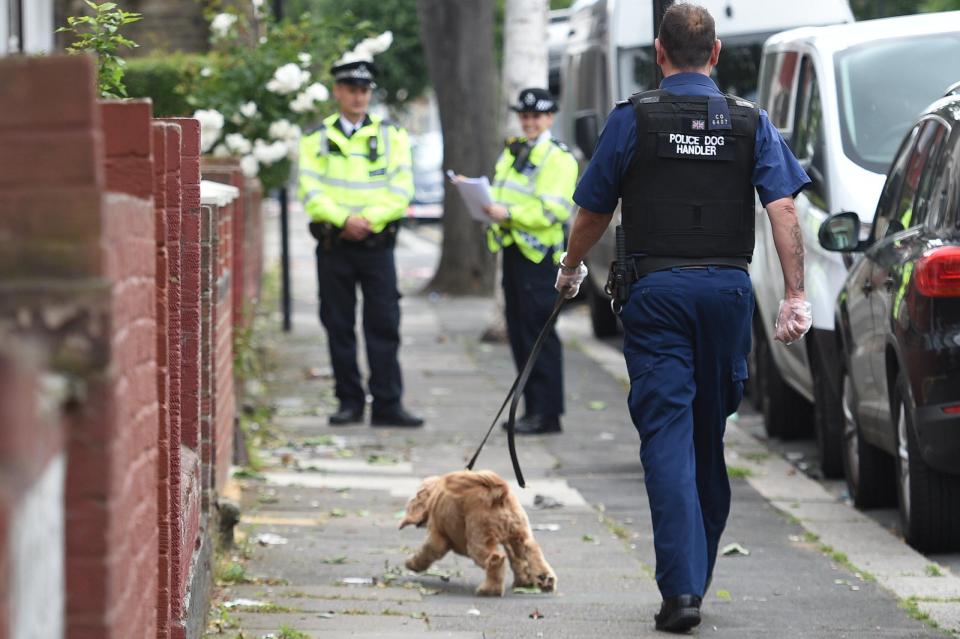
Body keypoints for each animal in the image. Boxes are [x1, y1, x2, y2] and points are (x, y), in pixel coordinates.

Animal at [398, 470, 560, 596]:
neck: (434, 495)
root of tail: (498, 494)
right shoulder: (510, 542)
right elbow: (518, 562)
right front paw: (524, 581)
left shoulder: (437, 537)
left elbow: (426, 551)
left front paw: (412, 563)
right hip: (519, 533)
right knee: (532, 550)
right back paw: (545, 579)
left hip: (478, 540)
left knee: (496, 559)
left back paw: (489, 590)